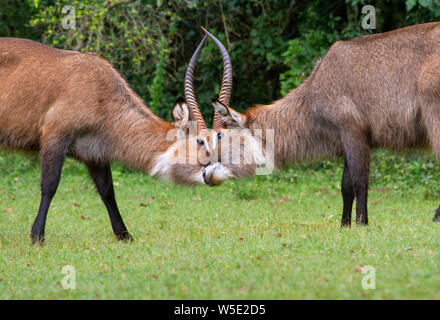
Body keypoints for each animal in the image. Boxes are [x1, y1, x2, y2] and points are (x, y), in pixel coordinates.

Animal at [0, 35, 227, 244]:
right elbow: (50, 186)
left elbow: (107, 191)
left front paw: (124, 235)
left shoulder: (93, 153)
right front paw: (37, 237)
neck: (98, 88)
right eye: (200, 141)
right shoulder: (54, 138)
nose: (215, 175)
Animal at [201, 23, 440, 225]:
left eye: (220, 135)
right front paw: (345, 225)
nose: (204, 174)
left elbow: (359, 181)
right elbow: (346, 186)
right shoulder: (346, 136)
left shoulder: (353, 131)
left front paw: (362, 224)